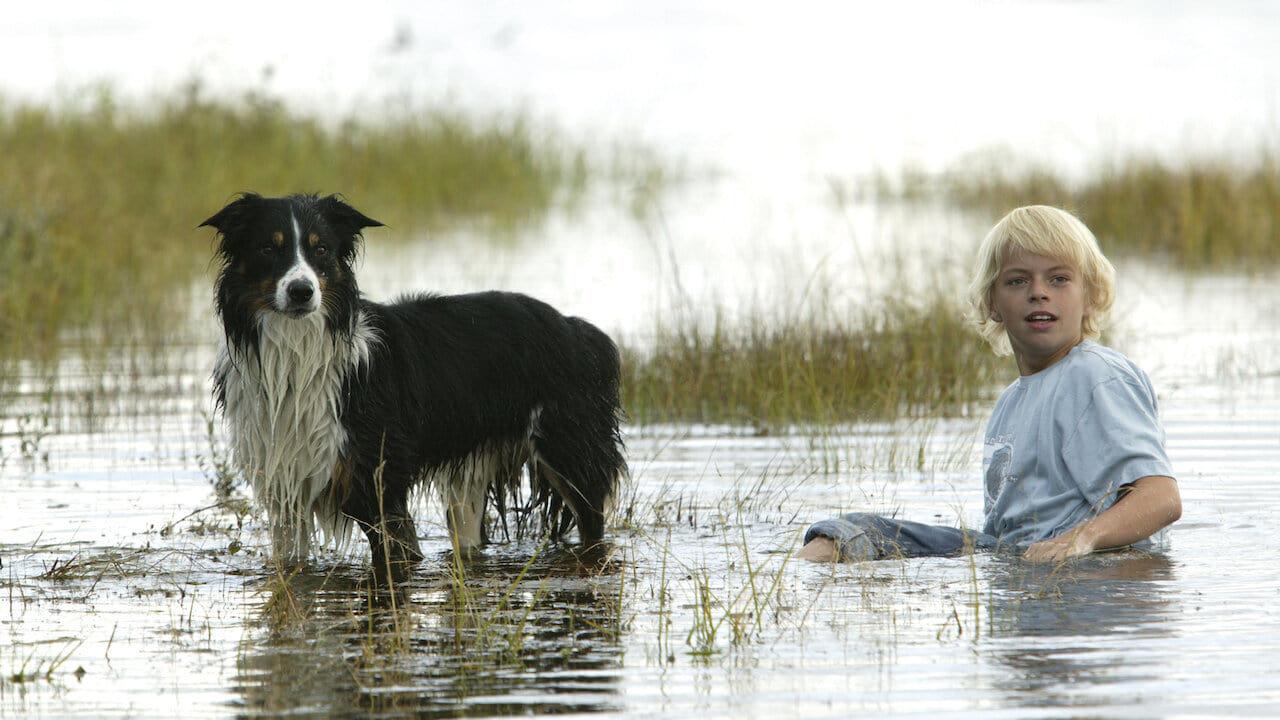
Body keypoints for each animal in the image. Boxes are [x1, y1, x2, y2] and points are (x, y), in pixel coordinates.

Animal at [202, 192, 627, 576]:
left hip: (571, 453)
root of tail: (578, 328)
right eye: (266, 248)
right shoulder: (285, 489)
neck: (297, 349)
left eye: (320, 249)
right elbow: (290, 563)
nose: (302, 291)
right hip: (471, 476)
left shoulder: (380, 484)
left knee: (593, 526)